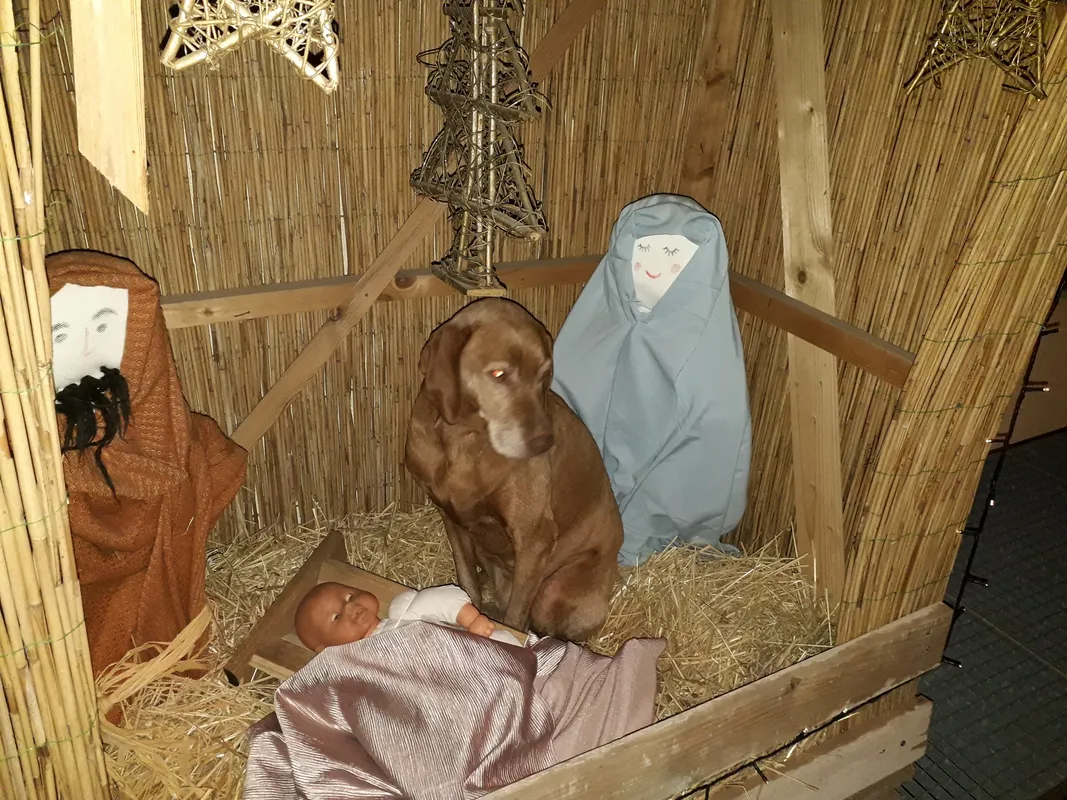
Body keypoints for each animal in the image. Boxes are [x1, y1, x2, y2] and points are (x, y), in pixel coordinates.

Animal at [404, 297, 623, 642]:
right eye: (498, 373)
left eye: (544, 374)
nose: (545, 441)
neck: (464, 440)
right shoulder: (452, 520)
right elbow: (467, 584)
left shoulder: (535, 539)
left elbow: (517, 616)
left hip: (554, 591)